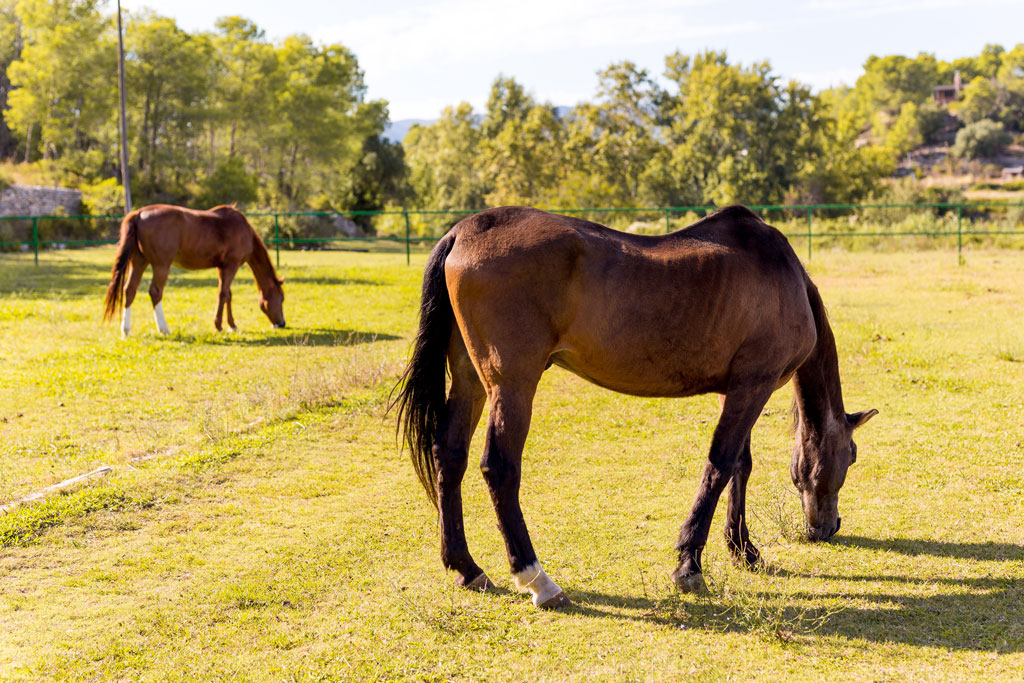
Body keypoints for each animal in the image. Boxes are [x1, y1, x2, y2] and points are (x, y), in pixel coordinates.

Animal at [102, 205, 284, 339]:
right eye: (281, 298)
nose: (282, 324)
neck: (243, 229)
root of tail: (139, 213)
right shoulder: (231, 266)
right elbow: (223, 294)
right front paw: (219, 326)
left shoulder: (222, 268)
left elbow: (228, 295)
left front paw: (232, 326)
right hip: (161, 265)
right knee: (155, 292)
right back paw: (164, 329)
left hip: (139, 262)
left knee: (129, 290)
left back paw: (126, 330)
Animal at [395, 205, 876, 610]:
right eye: (851, 456)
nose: (828, 527)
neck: (784, 276)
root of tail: (464, 231)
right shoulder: (753, 386)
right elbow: (720, 465)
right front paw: (689, 565)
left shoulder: (736, 389)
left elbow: (740, 465)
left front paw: (743, 550)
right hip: (511, 385)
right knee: (499, 468)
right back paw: (538, 580)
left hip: (471, 381)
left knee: (449, 455)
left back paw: (466, 567)